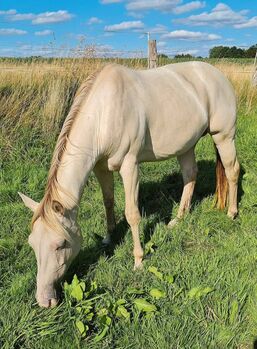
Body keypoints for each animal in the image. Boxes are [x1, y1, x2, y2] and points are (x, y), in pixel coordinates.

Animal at [19, 62, 239, 308]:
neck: (104, 113)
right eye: (32, 243)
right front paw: (109, 237)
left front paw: (138, 260)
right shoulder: (101, 167)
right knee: (190, 175)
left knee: (232, 170)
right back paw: (178, 219)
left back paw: (232, 212)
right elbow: (108, 201)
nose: (44, 300)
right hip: (186, 145)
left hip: (223, 136)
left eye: (60, 244)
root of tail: (217, 74)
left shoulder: (130, 166)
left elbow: (132, 213)